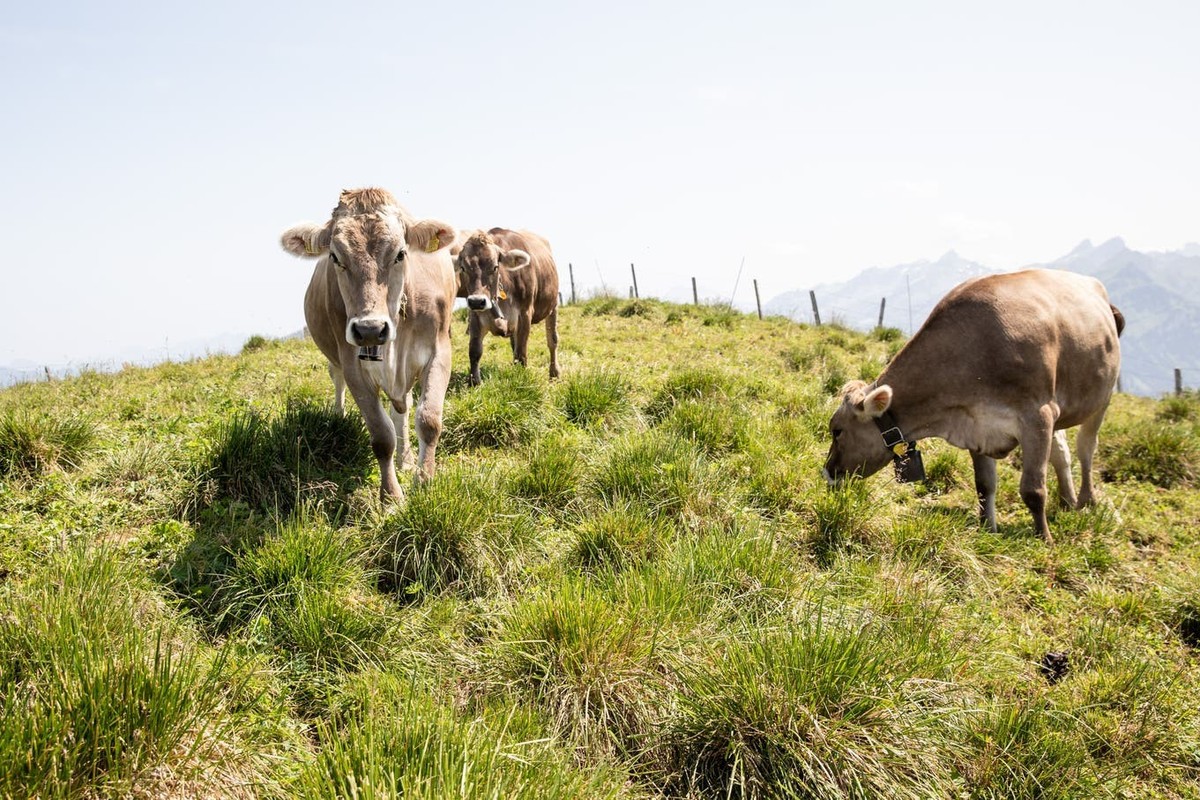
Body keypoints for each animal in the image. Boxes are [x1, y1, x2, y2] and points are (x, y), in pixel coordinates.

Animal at [280, 188, 457, 501]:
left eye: (400, 253)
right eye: (336, 257)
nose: (370, 329)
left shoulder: (439, 351)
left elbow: (428, 420)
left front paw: (424, 481)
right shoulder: (354, 366)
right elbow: (381, 436)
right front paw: (390, 497)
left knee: (403, 409)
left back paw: (406, 460)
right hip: (336, 359)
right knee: (337, 378)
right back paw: (339, 416)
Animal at [453, 228, 560, 386]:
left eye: (495, 267)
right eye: (463, 268)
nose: (477, 301)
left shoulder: (524, 314)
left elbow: (521, 353)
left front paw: (520, 380)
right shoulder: (475, 316)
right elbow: (474, 351)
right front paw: (475, 383)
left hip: (553, 306)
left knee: (552, 341)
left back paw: (554, 374)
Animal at [823, 269, 1124, 543]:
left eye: (837, 431)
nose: (827, 472)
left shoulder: (1037, 415)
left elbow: (1033, 489)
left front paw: (1045, 540)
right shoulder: (977, 425)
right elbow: (984, 485)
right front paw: (987, 529)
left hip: (1102, 398)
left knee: (1086, 448)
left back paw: (1086, 499)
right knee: (1062, 452)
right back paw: (1067, 500)